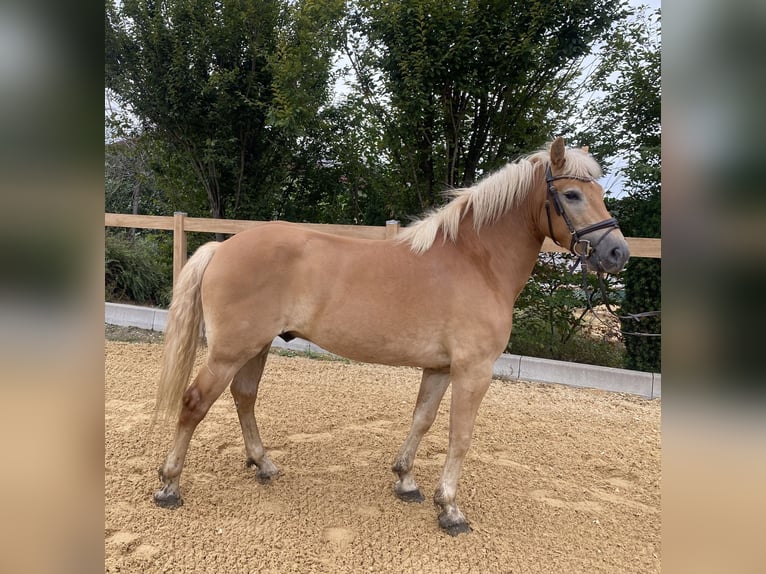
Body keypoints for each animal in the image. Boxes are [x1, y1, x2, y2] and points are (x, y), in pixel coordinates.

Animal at [152, 137, 632, 536]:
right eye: (571, 194)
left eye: (600, 192)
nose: (617, 253)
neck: (476, 261)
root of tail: (223, 247)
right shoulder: (474, 370)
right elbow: (460, 436)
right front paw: (450, 509)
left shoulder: (439, 367)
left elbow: (422, 419)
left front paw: (406, 480)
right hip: (230, 350)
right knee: (194, 404)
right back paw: (169, 485)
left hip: (256, 347)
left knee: (245, 397)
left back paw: (263, 464)